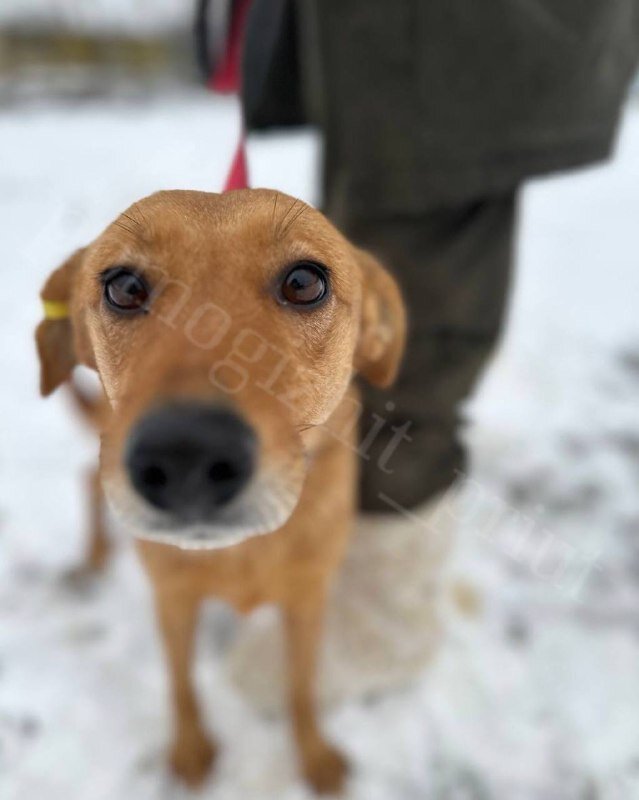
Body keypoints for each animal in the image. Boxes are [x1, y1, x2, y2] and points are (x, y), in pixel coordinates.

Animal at [35, 189, 405, 794]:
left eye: (304, 282)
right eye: (123, 286)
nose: (185, 455)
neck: (243, 555)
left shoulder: (309, 599)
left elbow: (301, 688)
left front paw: (313, 756)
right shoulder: (172, 598)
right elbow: (182, 684)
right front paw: (189, 750)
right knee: (88, 478)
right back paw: (91, 558)